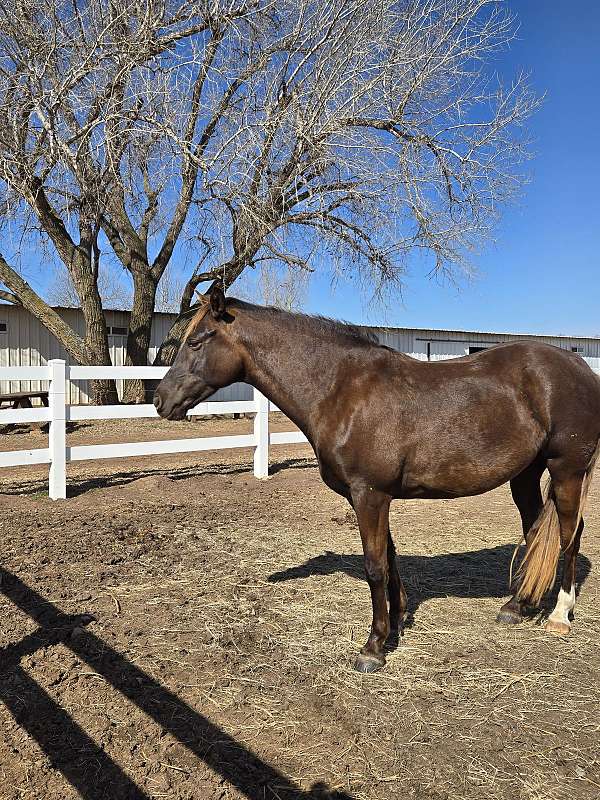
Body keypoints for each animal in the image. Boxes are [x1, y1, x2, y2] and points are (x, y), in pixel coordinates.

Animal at [154, 286, 600, 673]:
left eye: (197, 342)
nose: (160, 401)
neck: (341, 390)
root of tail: (579, 365)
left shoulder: (369, 494)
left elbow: (374, 566)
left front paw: (373, 647)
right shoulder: (372, 496)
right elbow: (389, 557)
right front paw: (397, 622)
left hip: (567, 470)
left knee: (568, 535)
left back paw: (559, 615)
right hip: (525, 475)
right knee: (534, 532)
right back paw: (517, 606)